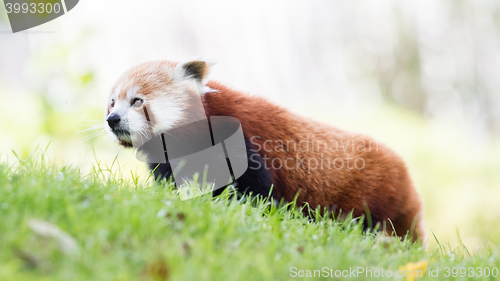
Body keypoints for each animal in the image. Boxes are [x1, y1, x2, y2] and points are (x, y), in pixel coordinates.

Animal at [106, 59, 426, 241]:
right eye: (112, 102)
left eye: (137, 101)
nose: (112, 119)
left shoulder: (241, 141)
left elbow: (255, 188)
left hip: (376, 197)